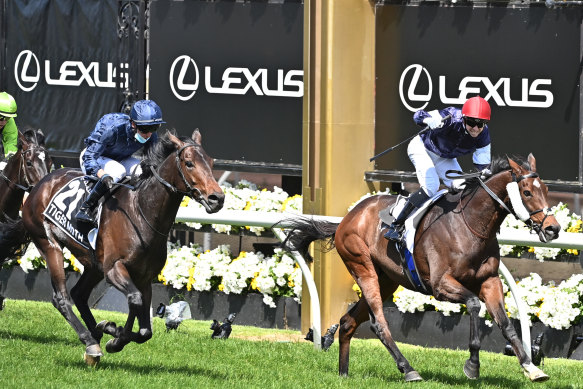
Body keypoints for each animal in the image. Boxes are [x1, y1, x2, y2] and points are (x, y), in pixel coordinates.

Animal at [0, 130, 224, 364]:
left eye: (211, 162)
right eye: (189, 163)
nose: (217, 198)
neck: (141, 213)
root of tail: (39, 186)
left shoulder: (144, 277)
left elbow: (145, 328)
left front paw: (110, 329)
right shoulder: (114, 269)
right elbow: (134, 300)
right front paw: (116, 340)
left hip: (94, 264)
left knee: (79, 293)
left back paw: (96, 331)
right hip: (49, 243)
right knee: (61, 298)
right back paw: (90, 342)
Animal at [282, 153, 560, 380]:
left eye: (546, 189)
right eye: (526, 192)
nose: (553, 229)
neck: (470, 225)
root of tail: (347, 218)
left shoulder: (489, 281)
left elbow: (506, 324)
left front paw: (531, 367)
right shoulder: (440, 285)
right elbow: (473, 304)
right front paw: (472, 365)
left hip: (387, 279)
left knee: (349, 321)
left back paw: (344, 373)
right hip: (362, 266)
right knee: (378, 323)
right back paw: (408, 369)